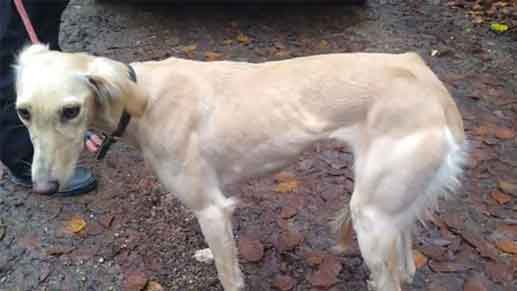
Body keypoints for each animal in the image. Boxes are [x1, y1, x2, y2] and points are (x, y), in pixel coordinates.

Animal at [14, 44, 466, 291]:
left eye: (70, 111)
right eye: (22, 112)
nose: (43, 188)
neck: (143, 99)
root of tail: (429, 81)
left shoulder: (212, 207)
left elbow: (229, 273)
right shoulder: (218, 211)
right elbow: (221, 252)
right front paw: (205, 253)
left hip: (370, 217)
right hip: (389, 210)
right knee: (405, 266)